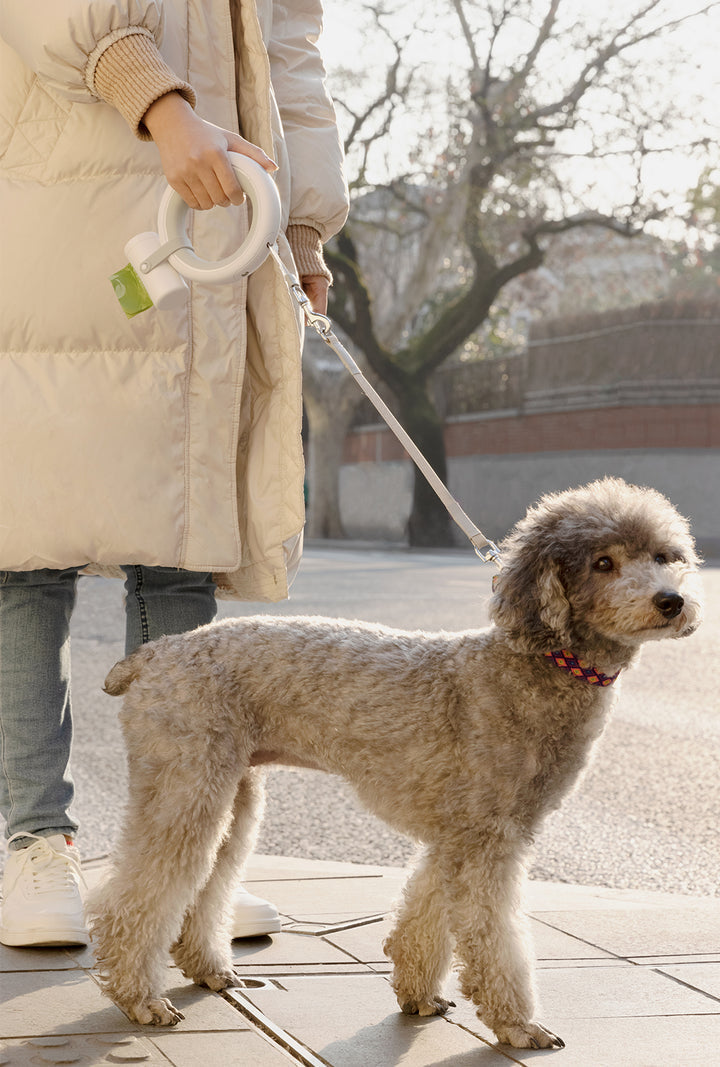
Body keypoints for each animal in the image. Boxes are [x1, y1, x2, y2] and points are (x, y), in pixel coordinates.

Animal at [87, 480, 699, 1045]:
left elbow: (427, 910)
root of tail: (151, 656)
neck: (535, 663)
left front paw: (420, 993)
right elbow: (494, 935)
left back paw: (208, 969)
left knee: (207, 879)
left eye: (665, 556)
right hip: (186, 781)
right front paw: (517, 1024)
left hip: (231, 791)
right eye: (603, 562)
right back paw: (140, 998)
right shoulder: (488, 838)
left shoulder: (459, 836)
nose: (672, 601)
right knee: (137, 898)